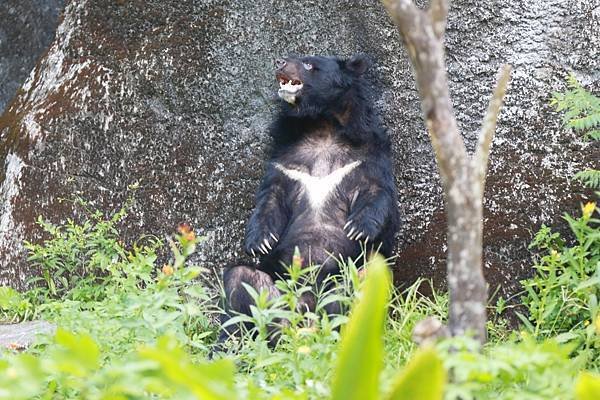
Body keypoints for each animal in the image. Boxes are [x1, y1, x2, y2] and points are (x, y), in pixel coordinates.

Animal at [219, 53, 398, 342]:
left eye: (309, 64)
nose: (279, 62)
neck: (320, 125)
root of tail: (304, 315)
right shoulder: (284, 160)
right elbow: (270, 198)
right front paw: (260, 243)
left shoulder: (368, 156)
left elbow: (379, 195)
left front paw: (358, 229)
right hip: (273, 294)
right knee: (240, 282)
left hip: (349, 279)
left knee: (363, 280)